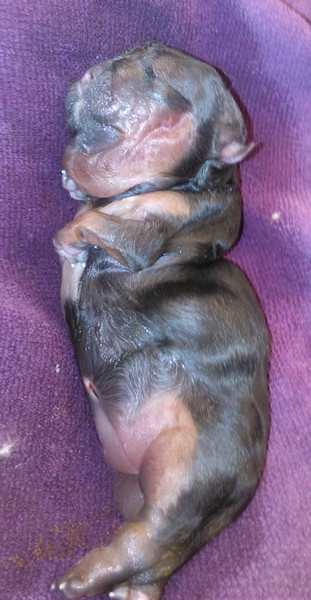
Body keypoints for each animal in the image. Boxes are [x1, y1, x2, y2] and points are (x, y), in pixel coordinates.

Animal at [52, 43, 270, 600]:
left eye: (157, 76)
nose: (98, 68)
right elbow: (86, 210)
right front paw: (73, 189)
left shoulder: (159, 223)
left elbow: (99, 220)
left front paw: (77, 228)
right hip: (134, 489)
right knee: (143, 553)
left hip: (185, 472)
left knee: (152, 535)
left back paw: (73, 579)